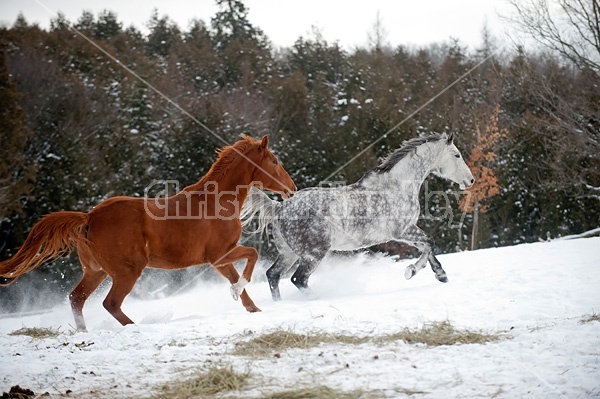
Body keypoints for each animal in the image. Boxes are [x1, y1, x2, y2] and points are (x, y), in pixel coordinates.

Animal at [0, 135, 296, 332]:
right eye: (274, 160)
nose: (292, 188)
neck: (217, 201)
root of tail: (89, 218)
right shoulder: (220, 254)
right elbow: (252, 256)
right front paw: (239, 291)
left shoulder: (219, 260)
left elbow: (239, 279)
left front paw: (251, 307)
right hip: (127, 271)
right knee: (110, 303)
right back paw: (136, 327)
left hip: (96, 271)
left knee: (76, 299)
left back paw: (83, 332)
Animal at [240, 133, 474, 302]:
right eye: (456, 155)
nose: (470, 180)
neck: (397, 186)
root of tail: (279, 208)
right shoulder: (403, 230)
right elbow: (430, 243)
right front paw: (411, 271)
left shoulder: (404, 233)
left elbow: (427, 247)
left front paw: (441, 275)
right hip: (313, 254)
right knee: (298, 279)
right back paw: (318, 298)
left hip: (288, 253)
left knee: (273, 275)